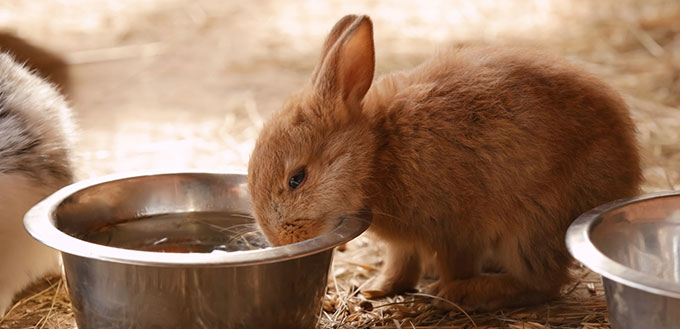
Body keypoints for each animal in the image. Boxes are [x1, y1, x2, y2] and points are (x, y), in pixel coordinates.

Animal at [247, 13, 640, 310]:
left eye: (297, 178)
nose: (280, 240)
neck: (377, 151)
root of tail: (627, 175)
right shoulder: (406, 242)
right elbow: (401, 262)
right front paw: (377, 288)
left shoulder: (455, 229)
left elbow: (455, 264)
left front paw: (446, 293)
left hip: (532, 227)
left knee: (542, 282)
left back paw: (470, 293)